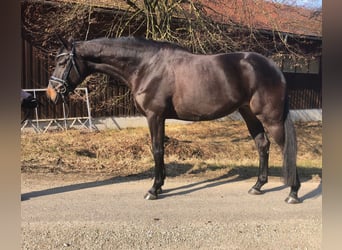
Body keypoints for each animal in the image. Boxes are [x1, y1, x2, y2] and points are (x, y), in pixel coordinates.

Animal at [47, 36, 300, 203]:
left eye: (62, 63)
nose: (51, 93)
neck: (146, 66)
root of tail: (275, 68)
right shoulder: (159, 117)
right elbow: (160, 149)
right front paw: (160, 186)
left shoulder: (155, 116)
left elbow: (157, 149)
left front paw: (154, 189)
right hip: (249, 114)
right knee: (262, 145)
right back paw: (258, 186)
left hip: (271, 118)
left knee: (286, 148)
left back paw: (293, 192)